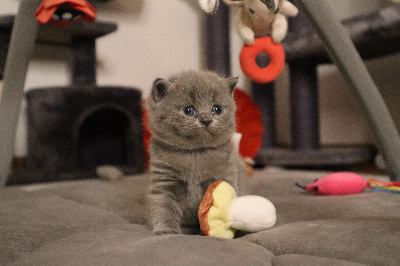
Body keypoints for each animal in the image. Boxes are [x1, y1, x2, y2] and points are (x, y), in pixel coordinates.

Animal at [148, 69, 247, 234]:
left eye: (217, 109)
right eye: (188, 110)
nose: (206, 119)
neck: (195, 154)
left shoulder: (224, 175)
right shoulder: (164, 180)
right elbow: (164, 206)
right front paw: (166, 230)